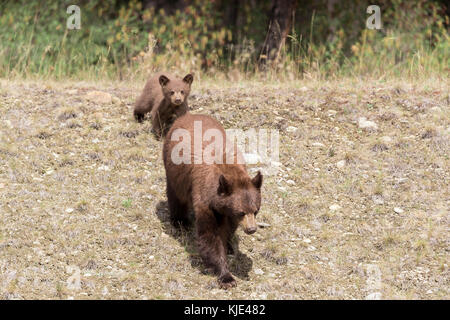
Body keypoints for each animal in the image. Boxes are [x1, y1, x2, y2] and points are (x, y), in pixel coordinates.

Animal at [163, 114, 262, 288]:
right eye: (241, 212)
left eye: (255, 210)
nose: (251, 229)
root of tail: (188, 115)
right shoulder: (205, 202)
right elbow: (210, 236)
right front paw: (226, 276)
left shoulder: (227, 212)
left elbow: (228, 228)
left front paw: (229, 246)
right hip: (174, 168)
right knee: (176, 196)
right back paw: (180, 222)